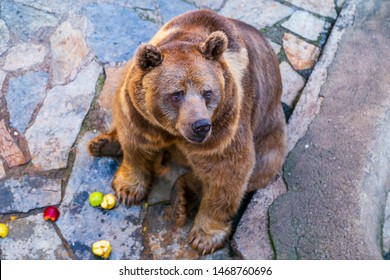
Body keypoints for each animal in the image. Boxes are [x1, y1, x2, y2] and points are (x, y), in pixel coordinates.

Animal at [90, 9, 288, 255]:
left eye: (208, 92)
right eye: (176, 94)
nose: (200, 125)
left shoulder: (226, 122)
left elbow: (227, 171)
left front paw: (206, 237)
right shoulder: (139, 113)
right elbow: (137, 144)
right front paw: (128, 189)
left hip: (270, 134)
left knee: (259, 168)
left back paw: (181, 198)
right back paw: (103, 144)